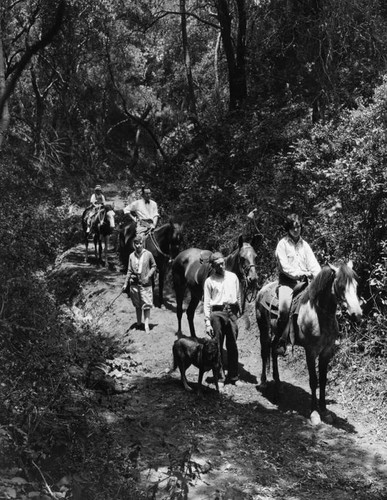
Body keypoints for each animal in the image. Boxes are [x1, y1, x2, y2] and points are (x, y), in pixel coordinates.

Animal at [256, 262, 362, 422]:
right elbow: (313, 381)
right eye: (341, 286)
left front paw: (324, 410)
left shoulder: (326, 351)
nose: (357, 315)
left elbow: (323, 380)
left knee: (274, 350)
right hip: (263, 327)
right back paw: (263, 383)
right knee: (264, 352)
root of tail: (262, 289)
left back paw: (278, 386)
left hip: (277, 334)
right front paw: (314, 413)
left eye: (356, 285)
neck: (319, 315)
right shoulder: (310, 351)